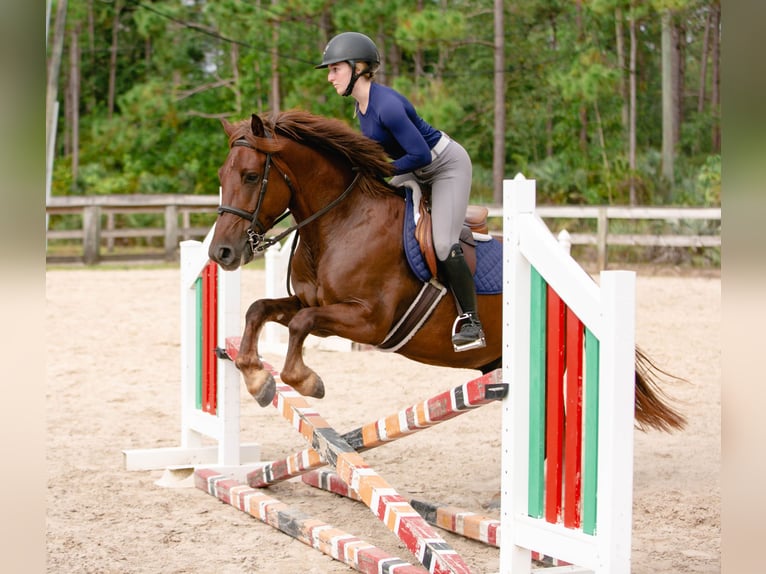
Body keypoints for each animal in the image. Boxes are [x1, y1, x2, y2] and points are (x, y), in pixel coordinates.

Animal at [208, 110, 686, 433]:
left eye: (250, 176)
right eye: (221, 175)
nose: (221, 253)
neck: (340, 221)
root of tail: (583, 285)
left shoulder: (369, 320)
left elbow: (301, 325)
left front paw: (304, 381)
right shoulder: (314, 304)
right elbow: (260, 309)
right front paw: (256, 378)